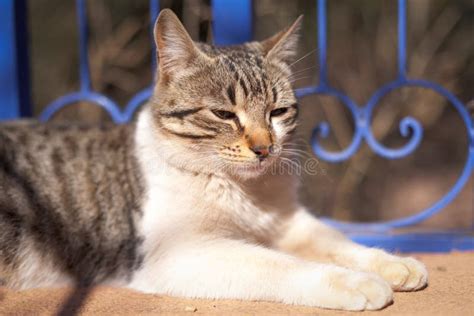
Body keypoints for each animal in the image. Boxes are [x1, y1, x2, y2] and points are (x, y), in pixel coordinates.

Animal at [0, 9, 428, 312]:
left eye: (278, 112)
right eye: (224, 114)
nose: (264, 148)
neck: (243, 191)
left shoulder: (290, 221)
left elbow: (335, 239)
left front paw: (392, 264)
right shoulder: (180, 254)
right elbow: (278, 264)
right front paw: (356, 282)